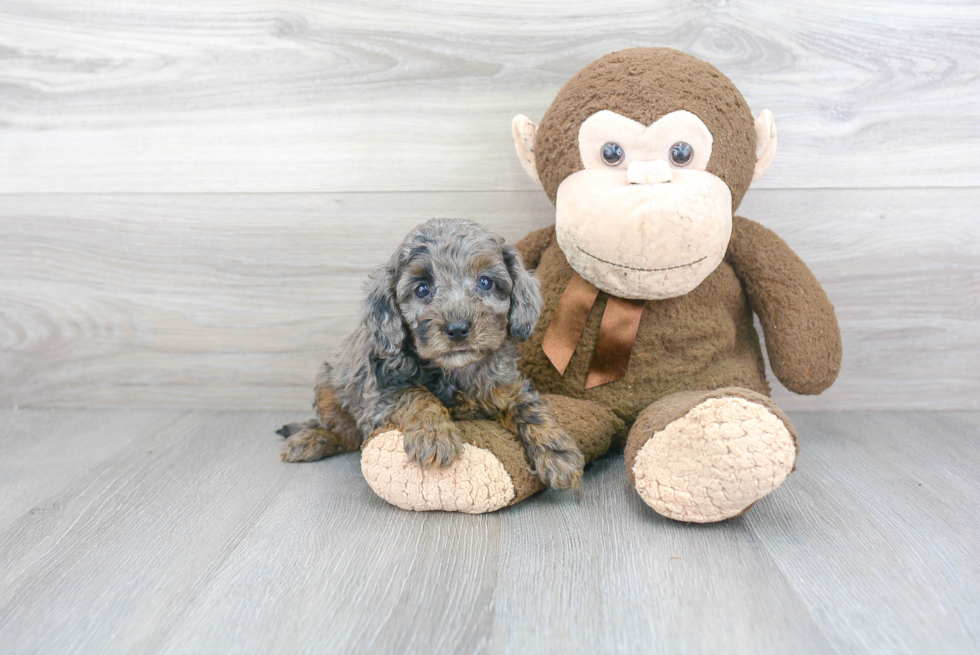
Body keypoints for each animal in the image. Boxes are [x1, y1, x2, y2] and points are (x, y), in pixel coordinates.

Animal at [276, 218, 580, 490]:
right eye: (422, 289)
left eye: (485, 282)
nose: (457, 329)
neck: (456, 371)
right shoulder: (380, 396)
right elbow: (416, 395)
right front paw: (434, 437)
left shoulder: (508, 387)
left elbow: (530, 409)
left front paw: (559, 456)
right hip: (327, 387)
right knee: (344, 433)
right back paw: (311, 440)